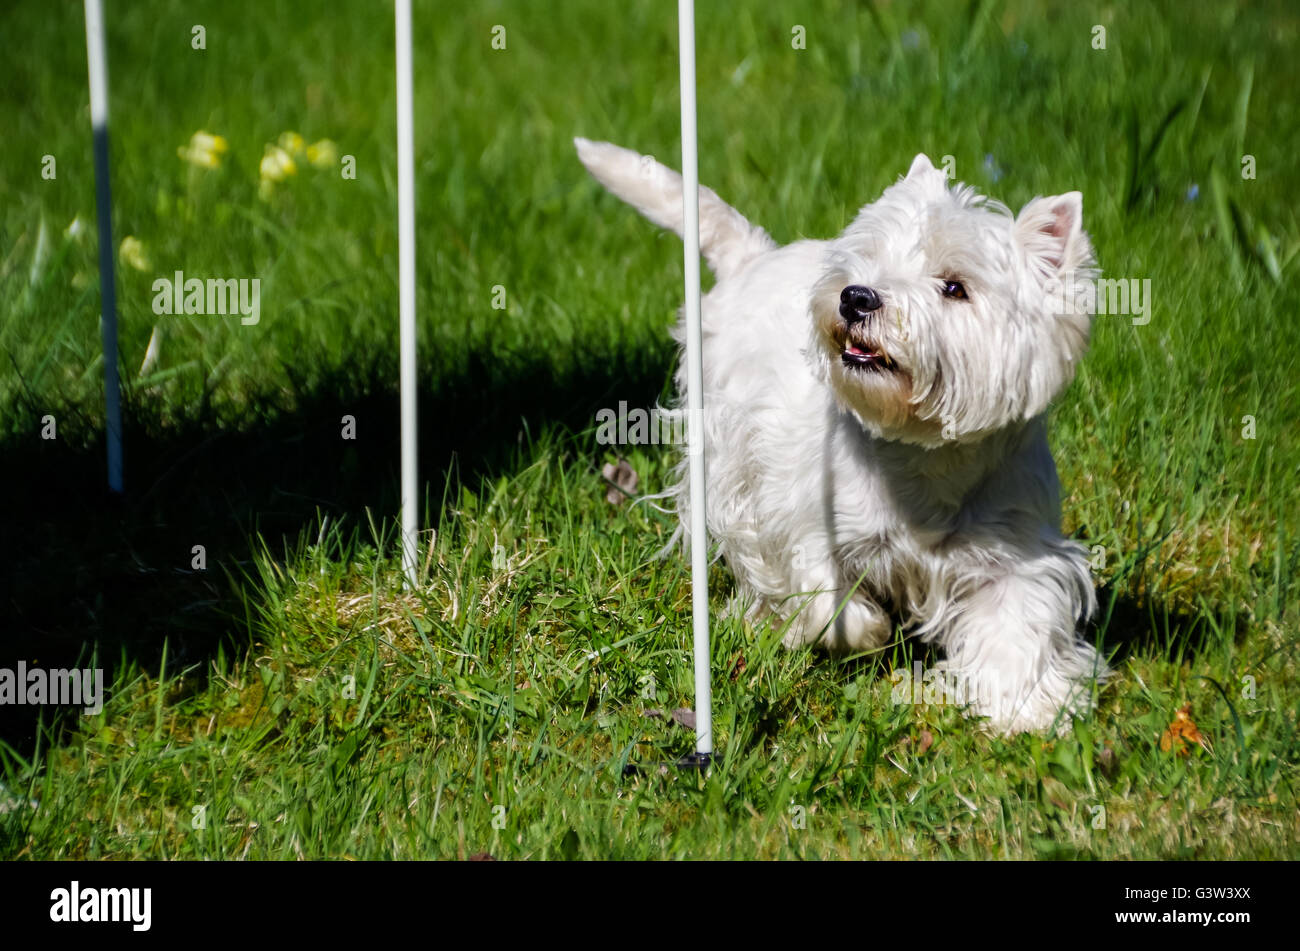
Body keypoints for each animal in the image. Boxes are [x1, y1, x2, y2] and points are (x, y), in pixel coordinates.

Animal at [577, 137, 1107, 737]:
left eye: (955, 287)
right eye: (871, 259)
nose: (856, 297)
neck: (924, 458)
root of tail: (755, 257)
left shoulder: (1014, 552)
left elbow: (1018, 624)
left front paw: (1024, 709)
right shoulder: (806, 519)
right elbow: (826, 598)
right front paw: (863, 631)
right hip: (727, 461)